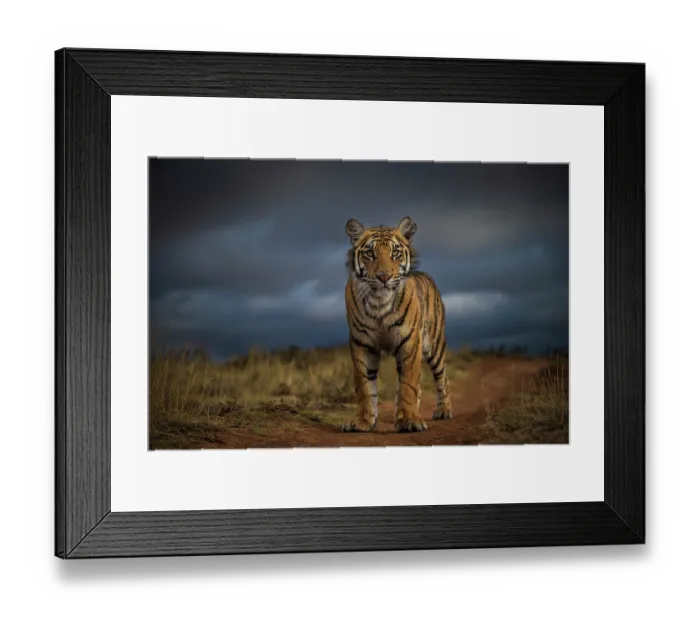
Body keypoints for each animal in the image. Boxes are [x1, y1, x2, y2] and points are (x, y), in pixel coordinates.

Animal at [342, 216, 452, 433]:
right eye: (370, 253)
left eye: (395, 253)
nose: (384, 276)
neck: (379, 304)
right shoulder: (362, 343)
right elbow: (364, 385)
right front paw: (363, 421)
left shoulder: (410, 342)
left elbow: (408, 383)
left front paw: (409, 420)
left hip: (435, 346)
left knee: (442, 377)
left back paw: (443, 410)